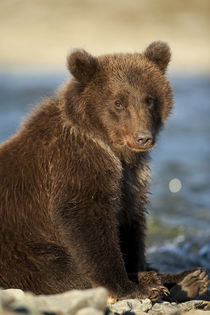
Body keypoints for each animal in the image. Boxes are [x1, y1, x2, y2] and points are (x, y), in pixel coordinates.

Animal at [0, 40, 208, 302]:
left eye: (149, 99)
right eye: (119, 103)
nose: (143, 137)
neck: (113, 148)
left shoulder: (131, 179)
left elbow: (130, 225)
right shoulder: (75, 163)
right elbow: (87, 220)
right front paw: (129, 286)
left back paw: (190, 278)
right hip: (20, 246)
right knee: (53, 269)